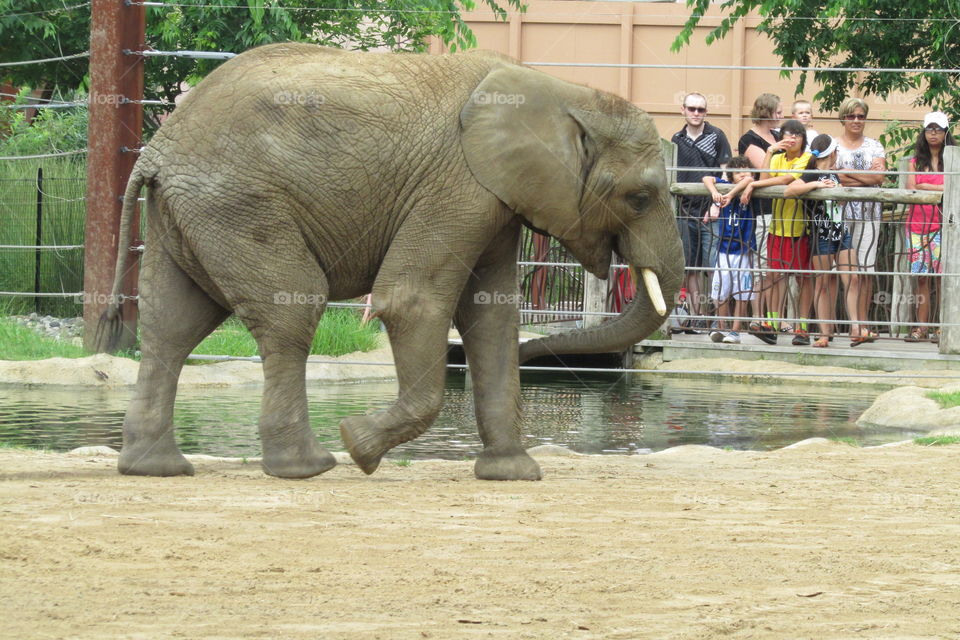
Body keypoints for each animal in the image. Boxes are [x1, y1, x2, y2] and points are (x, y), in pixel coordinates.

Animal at [99, 43, 684, 480]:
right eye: (639, 198)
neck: (563, 91)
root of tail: (158, 148)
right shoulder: (458, 183)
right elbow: (412, 302)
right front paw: (359, 445)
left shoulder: (495, 195)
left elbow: (492, 315)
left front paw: (513, 475)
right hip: (237, 204)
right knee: (291, 308)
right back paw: (308, 466)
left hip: (191, 215)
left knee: (172, 326)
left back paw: (156, 468)